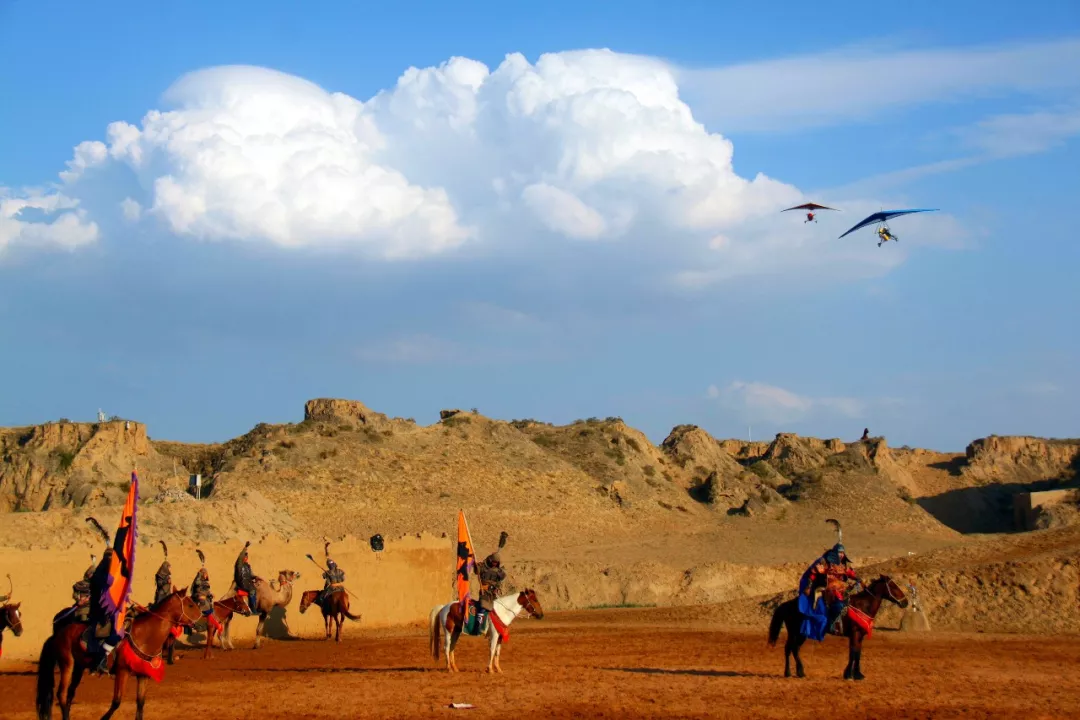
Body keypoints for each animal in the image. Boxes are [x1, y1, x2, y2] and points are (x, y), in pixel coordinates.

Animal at [35, 587, 201, 716]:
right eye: (190, 605)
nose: (200, 621)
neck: (145, 635)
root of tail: (58, 633)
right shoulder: (122, 672)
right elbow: (116, 702)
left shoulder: (143, 675)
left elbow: (140, 704)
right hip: (66, 664)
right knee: (62, 695)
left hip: (78, 667)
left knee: (69, 695)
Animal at [764, 574, 907, 682]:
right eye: (893, 586)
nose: (905, 602)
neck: (863, 606)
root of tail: (787, 604)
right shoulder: (855, 634)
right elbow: (853, 652)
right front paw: (849, 675)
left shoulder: (859, 635)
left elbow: (858, 653)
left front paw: (857, 674)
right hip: (796, 633)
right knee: (791, 648)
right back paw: (794, 672)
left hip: (798, 634)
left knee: (792, 649)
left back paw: (794, 672)